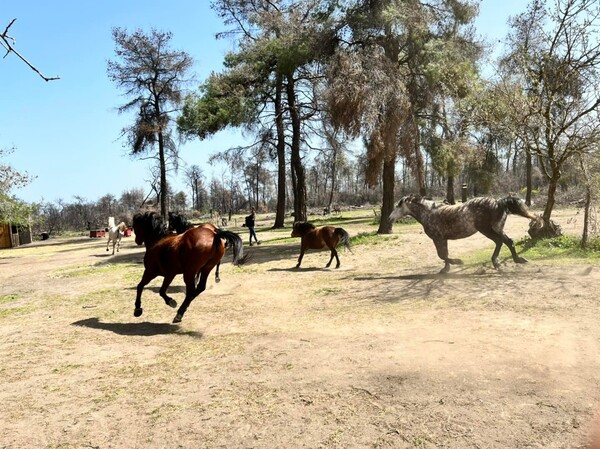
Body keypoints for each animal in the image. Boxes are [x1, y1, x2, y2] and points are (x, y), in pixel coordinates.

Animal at [390, 193, 540, 272]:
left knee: (501, 241)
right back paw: (515, 260)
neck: (429, 213)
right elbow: (444, 254)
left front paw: (458, 262)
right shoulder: (443, 239)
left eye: (398, 206)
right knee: (507, 241)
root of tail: (498, 202)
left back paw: (497, 263)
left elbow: (442, 255)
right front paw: (446, 269)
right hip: (497, 228)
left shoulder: (437, 238)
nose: (389, 218)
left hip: (487, 230)